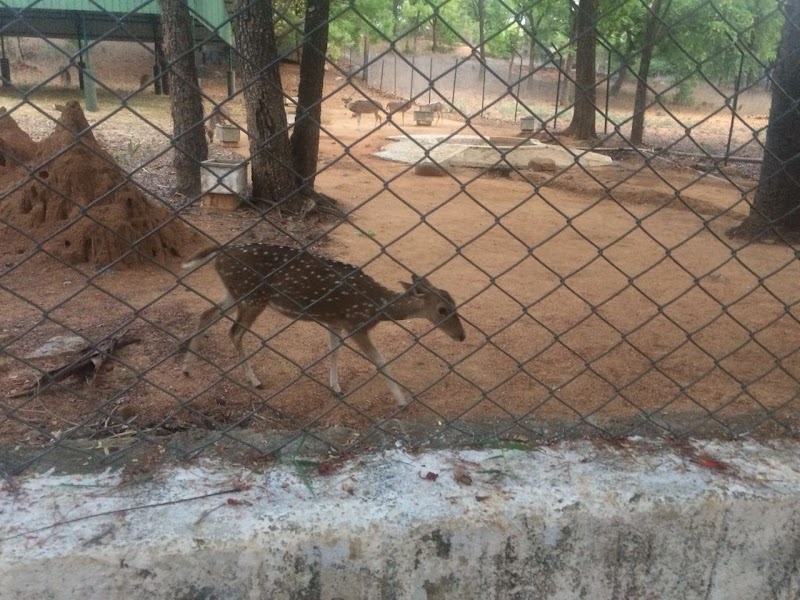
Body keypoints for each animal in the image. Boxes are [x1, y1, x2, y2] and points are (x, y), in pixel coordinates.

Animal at [181, 244, 466, 406]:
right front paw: (402, 401)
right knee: (234, 332)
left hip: (236, 292)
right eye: (443, 310)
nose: (462, 336)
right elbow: (380, 361)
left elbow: (333, 350)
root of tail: (219, 254)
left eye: (455, 304)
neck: (377, 306)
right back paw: (254, 380)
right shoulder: (355, 322)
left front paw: (335, 387)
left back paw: (187, 368)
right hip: (253, 296)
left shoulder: (334, 320)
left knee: (206, 314)